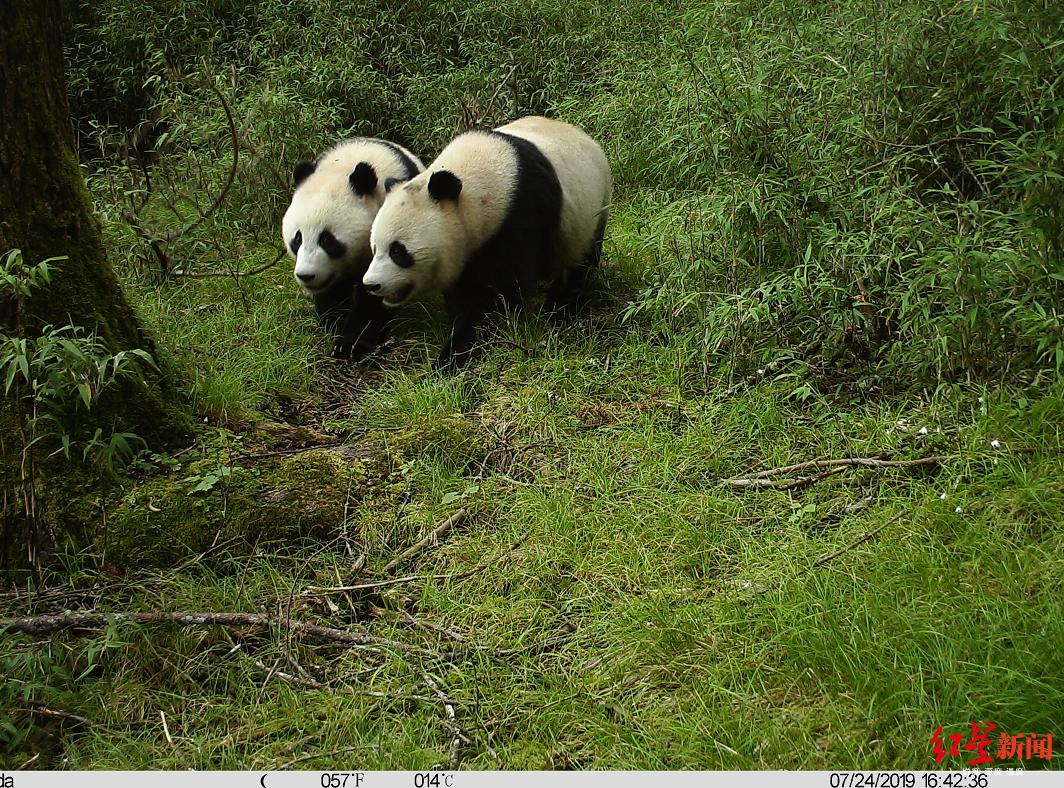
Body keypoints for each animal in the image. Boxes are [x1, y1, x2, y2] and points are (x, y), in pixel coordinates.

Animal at [282, 138, 425, 358]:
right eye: (297, 239)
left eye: (326, 240)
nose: (306, 276)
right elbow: (332, 292)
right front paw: (333, 323)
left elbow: (374, 300)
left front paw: (349, 345)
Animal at [362, 116, 611, 367]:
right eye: (374, 248)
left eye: (398, 252)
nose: (371, 285)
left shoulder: (519, 215)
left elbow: (495, 296)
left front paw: (455, 354)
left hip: (590, 213)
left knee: (579, 265)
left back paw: (559, 310)